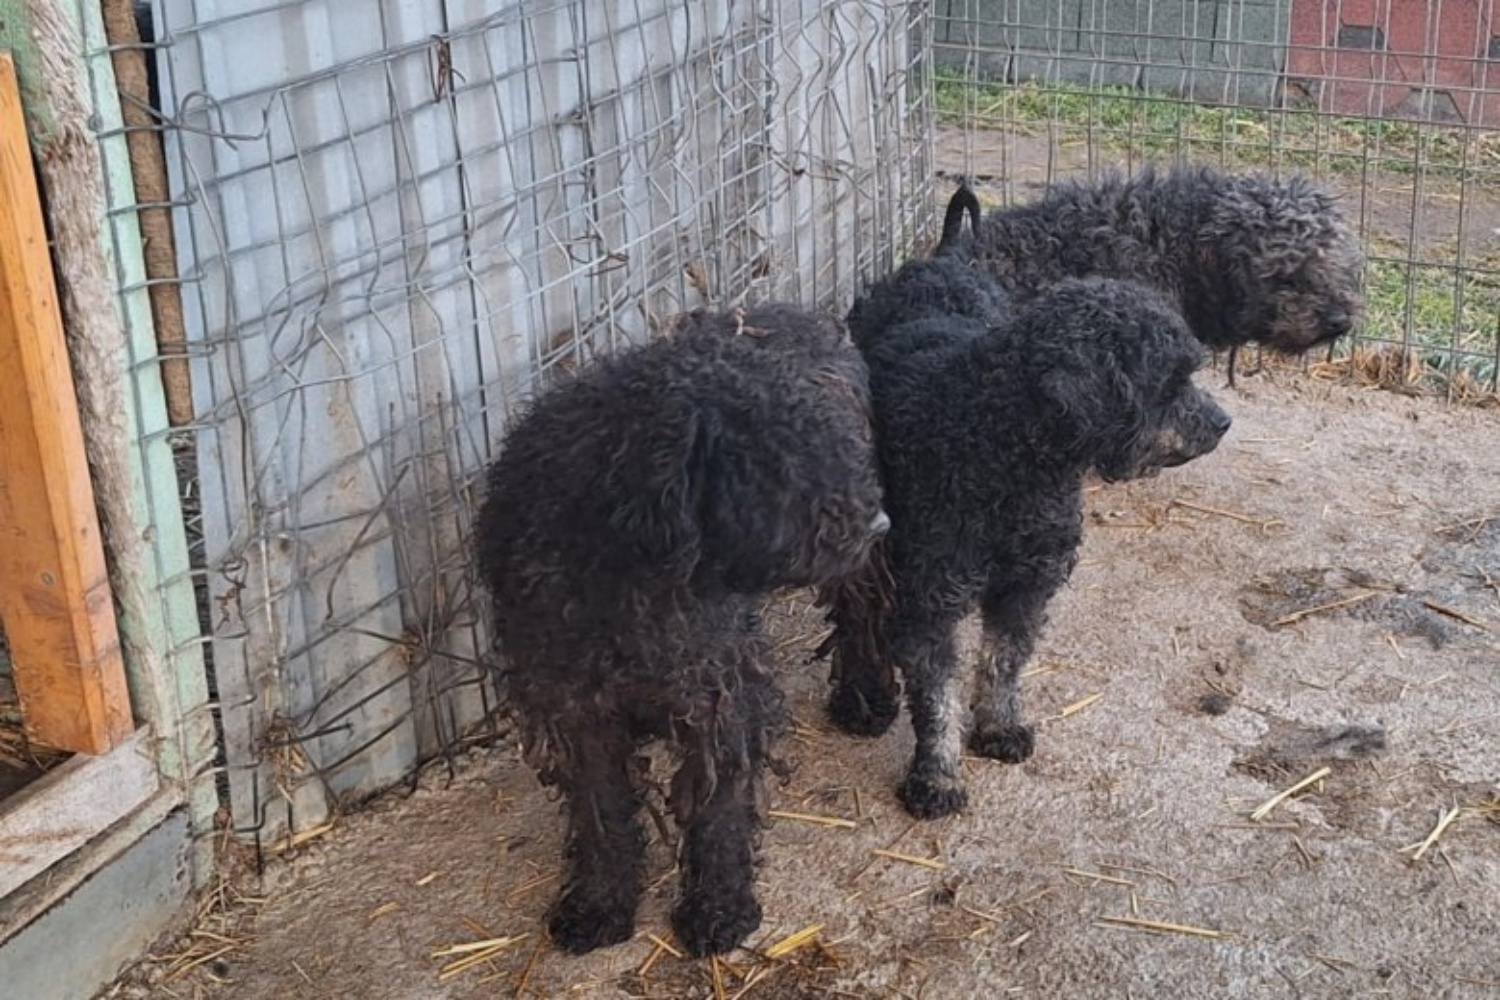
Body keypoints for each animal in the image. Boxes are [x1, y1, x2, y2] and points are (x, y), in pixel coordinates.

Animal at [477, 302, 888, 953]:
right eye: (776, 460)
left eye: (827, 442)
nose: (877, 522)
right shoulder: (574, 707)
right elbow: (600, 813)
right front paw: (597, 905)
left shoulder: (717, 693)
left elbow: (719, 808)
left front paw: (719, 909)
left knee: (863, 614)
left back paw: (865, 698)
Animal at [828, 271, 1224, 821]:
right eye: (1169, 383)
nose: (1223, 422)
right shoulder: (930, 600)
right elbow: (937, 699)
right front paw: (937, 778)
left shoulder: (1028, 583)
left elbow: (1004, 660)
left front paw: (999, 727)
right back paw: (862, 699)